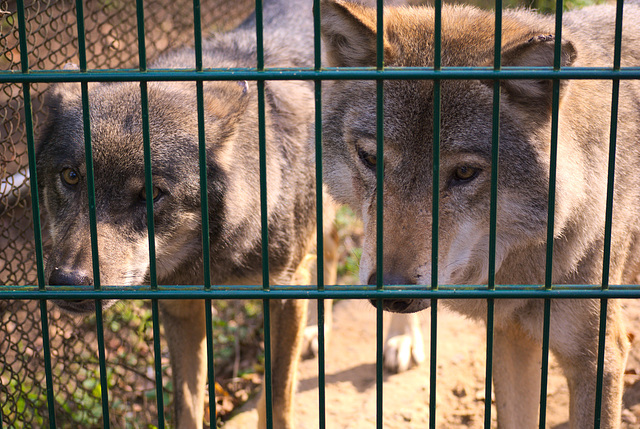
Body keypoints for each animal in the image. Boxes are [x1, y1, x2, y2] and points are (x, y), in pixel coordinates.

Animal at [33, 0, 340, 428]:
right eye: (71, 176)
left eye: (152, 194)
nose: (69, 283)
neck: (213, 259)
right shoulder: (179, 308)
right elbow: (188, 406)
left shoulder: (285, 294)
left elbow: (278, 400)